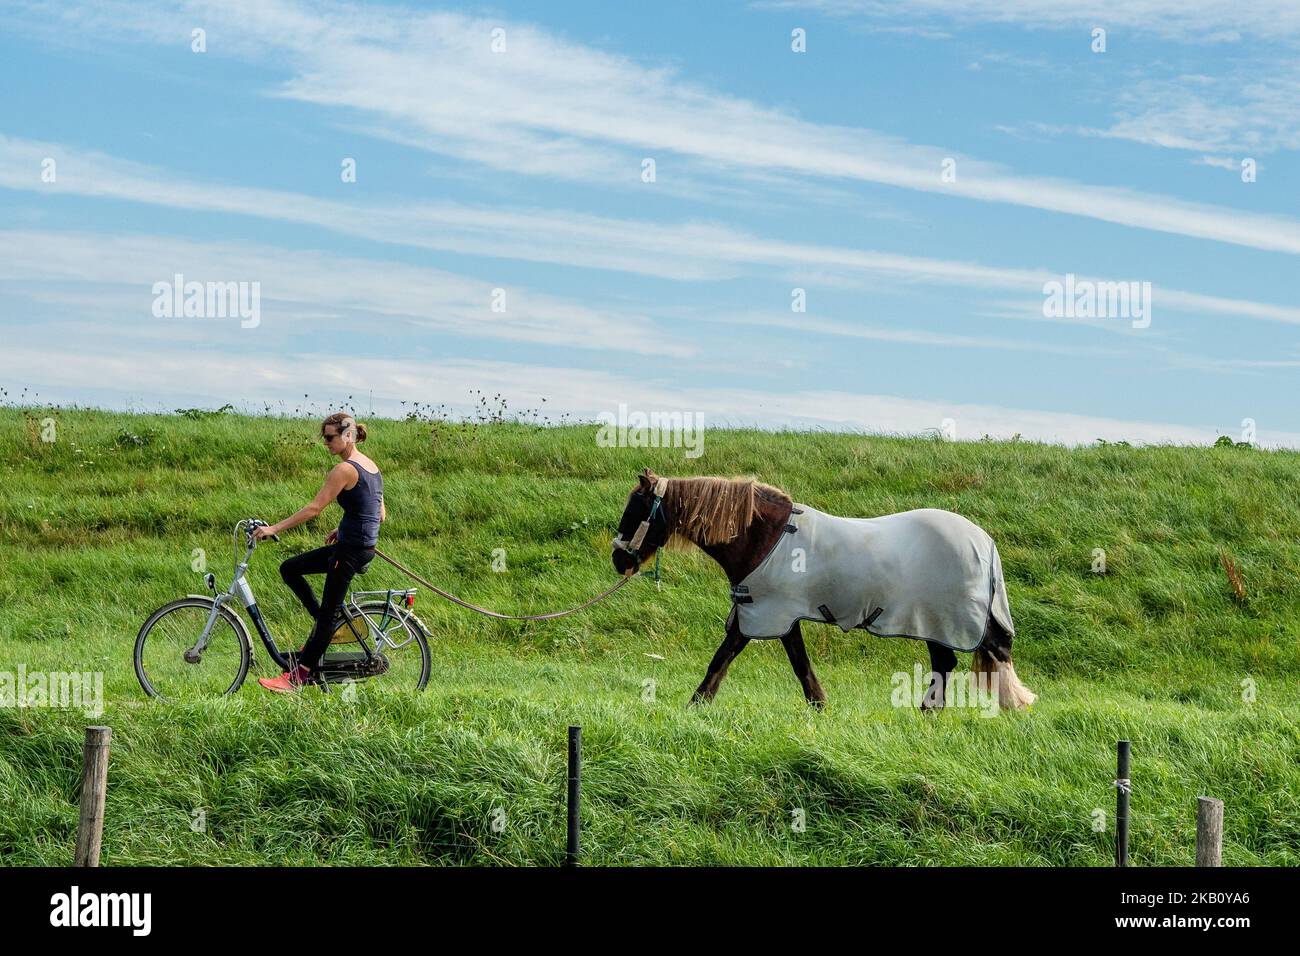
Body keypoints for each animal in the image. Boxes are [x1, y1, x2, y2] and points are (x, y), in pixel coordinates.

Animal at [608, 468, 1034, 712]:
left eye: (636, 510)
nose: (618, 560)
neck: (764, 537)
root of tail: (984, 541)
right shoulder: (768, 614)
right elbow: (789, 660)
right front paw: (819, 705)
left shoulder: (766, 613)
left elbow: (725, 658)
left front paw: (694, 706)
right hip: (933, 623)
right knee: (944, 665)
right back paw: (927, 714)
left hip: (944, 620)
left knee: (980, 657)